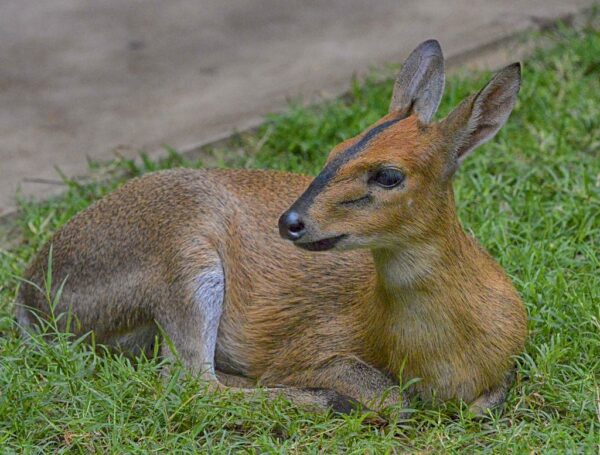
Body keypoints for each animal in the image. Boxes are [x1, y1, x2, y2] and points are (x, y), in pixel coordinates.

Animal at [17, 41, 524, 418]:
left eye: (388, 175)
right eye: (334, 151)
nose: (291, 221)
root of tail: (30, 297)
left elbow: (485, 402)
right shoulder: (311, 347)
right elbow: (391, 399)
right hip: (186, 259)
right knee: (189, 381)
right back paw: (323, 401)